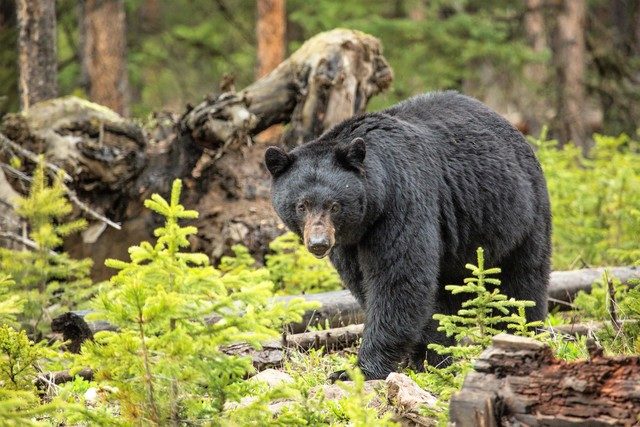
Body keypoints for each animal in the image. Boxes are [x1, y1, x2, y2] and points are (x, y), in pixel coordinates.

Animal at [264, 91, 551, 380]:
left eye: (334, 205)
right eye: (301, 205)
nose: (319, 244)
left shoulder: (402, 201)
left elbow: (399, 279)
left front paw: (359, 370)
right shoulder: (349, 242)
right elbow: (364, 282)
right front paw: (425, 356)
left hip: (518, 215)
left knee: (521, 282)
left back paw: (521, 334)